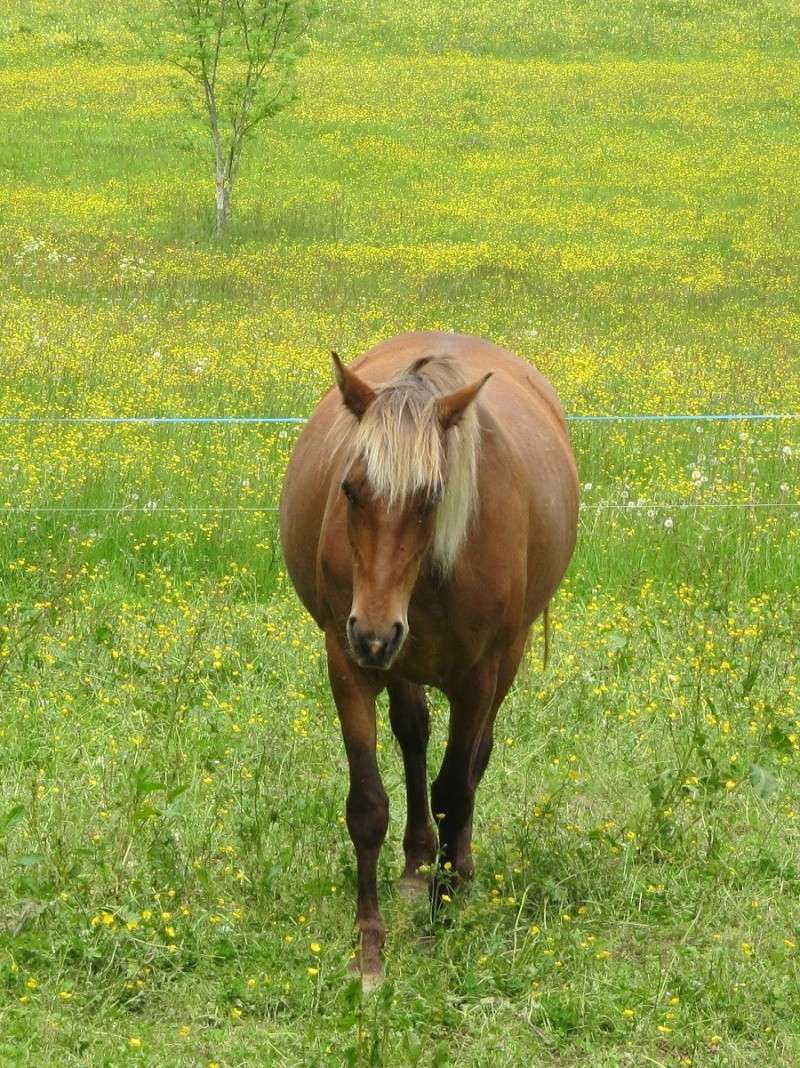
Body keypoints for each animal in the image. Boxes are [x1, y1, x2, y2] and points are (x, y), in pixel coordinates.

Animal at [277, 328, 576, 986]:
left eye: (431, 497)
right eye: (350, 488)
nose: (375, 631)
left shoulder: (479, 676)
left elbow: (455, 789)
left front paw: (439, 928)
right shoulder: (349, 665)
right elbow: (368, 807)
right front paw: (370, 950)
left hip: (498, 663)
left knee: (472, 764)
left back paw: (456, 871)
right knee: (413, 736)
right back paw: (417, 867)